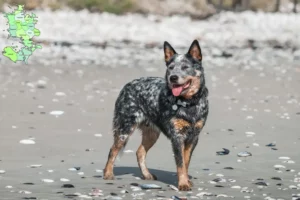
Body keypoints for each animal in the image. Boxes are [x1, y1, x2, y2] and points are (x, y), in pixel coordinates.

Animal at [103, 39, 209, 191]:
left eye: (185, 67)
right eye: (171, 67)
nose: (173, 77)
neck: (188, 103)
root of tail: (127, 85)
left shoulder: (193, 137)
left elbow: (186, 161)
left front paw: (187, 181)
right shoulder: (177, 136)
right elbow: (180, 164)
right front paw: (183, 183)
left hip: (152, 133)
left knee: (140, 152)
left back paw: (146, 174)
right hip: (125, 127)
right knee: (113, 150)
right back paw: (108, 173)